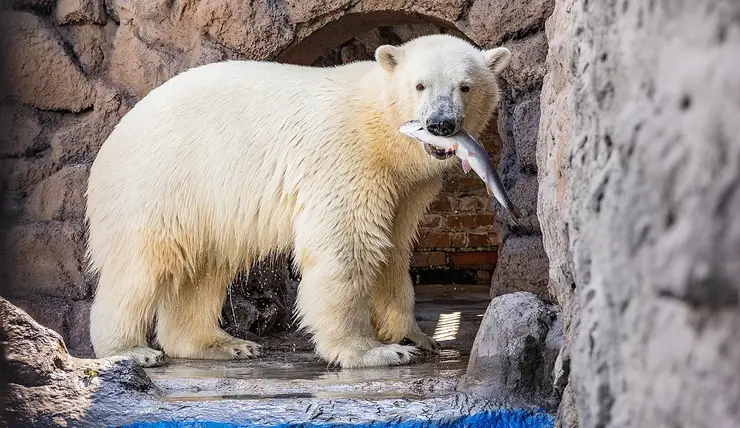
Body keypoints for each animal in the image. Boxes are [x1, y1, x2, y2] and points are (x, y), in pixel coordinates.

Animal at [84, 34, 506, 368]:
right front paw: (373, 351)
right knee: (141, 262)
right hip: (160, 181)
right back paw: (131, 350)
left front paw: (417, 338)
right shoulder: (347, 159)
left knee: (206, 267)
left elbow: (394, 248)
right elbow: (349, 246)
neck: (381, 129)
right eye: (420, 85)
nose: (440, 124)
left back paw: (225, 344)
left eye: (465, 86)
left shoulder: (406, 186)